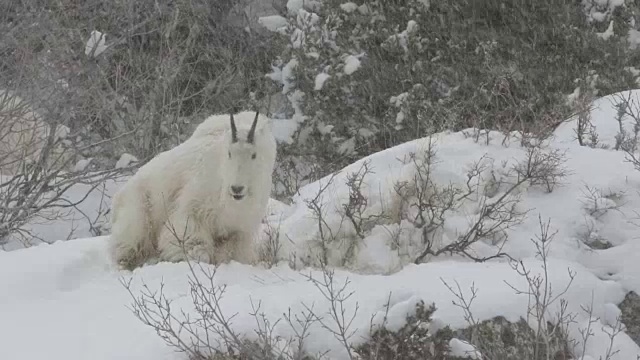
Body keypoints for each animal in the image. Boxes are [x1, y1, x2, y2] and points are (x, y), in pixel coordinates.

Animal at [108, 111, 278, 268]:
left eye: (254, 155)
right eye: (229, 153)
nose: (237, 189)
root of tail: (117, 197)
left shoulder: (237, 230)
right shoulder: (193, 210)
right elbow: (192, 242)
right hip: (137, 214)